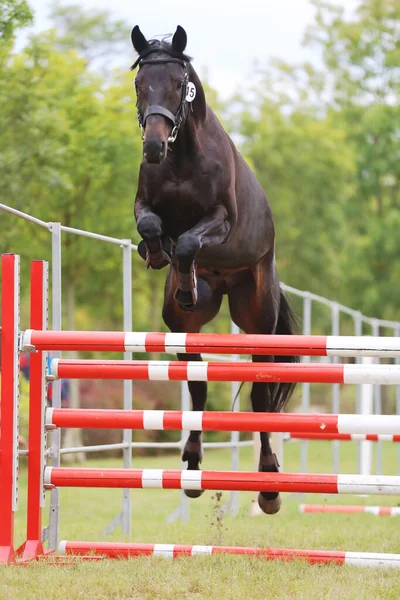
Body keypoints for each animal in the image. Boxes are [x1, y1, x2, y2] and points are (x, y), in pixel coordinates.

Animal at [130, 27, 296, 516]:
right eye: (140, 84)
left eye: (177, 83)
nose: (153, 146)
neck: (182, 156)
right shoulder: (144, 205)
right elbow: (153, 226)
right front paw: (157, 254)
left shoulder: (221, 220)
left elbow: (189, 240)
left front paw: (179, 266)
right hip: (183, 327)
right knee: (198, 384)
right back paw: (191, 466)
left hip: (257, 316)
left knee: (260, 396)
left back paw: (269, 487)